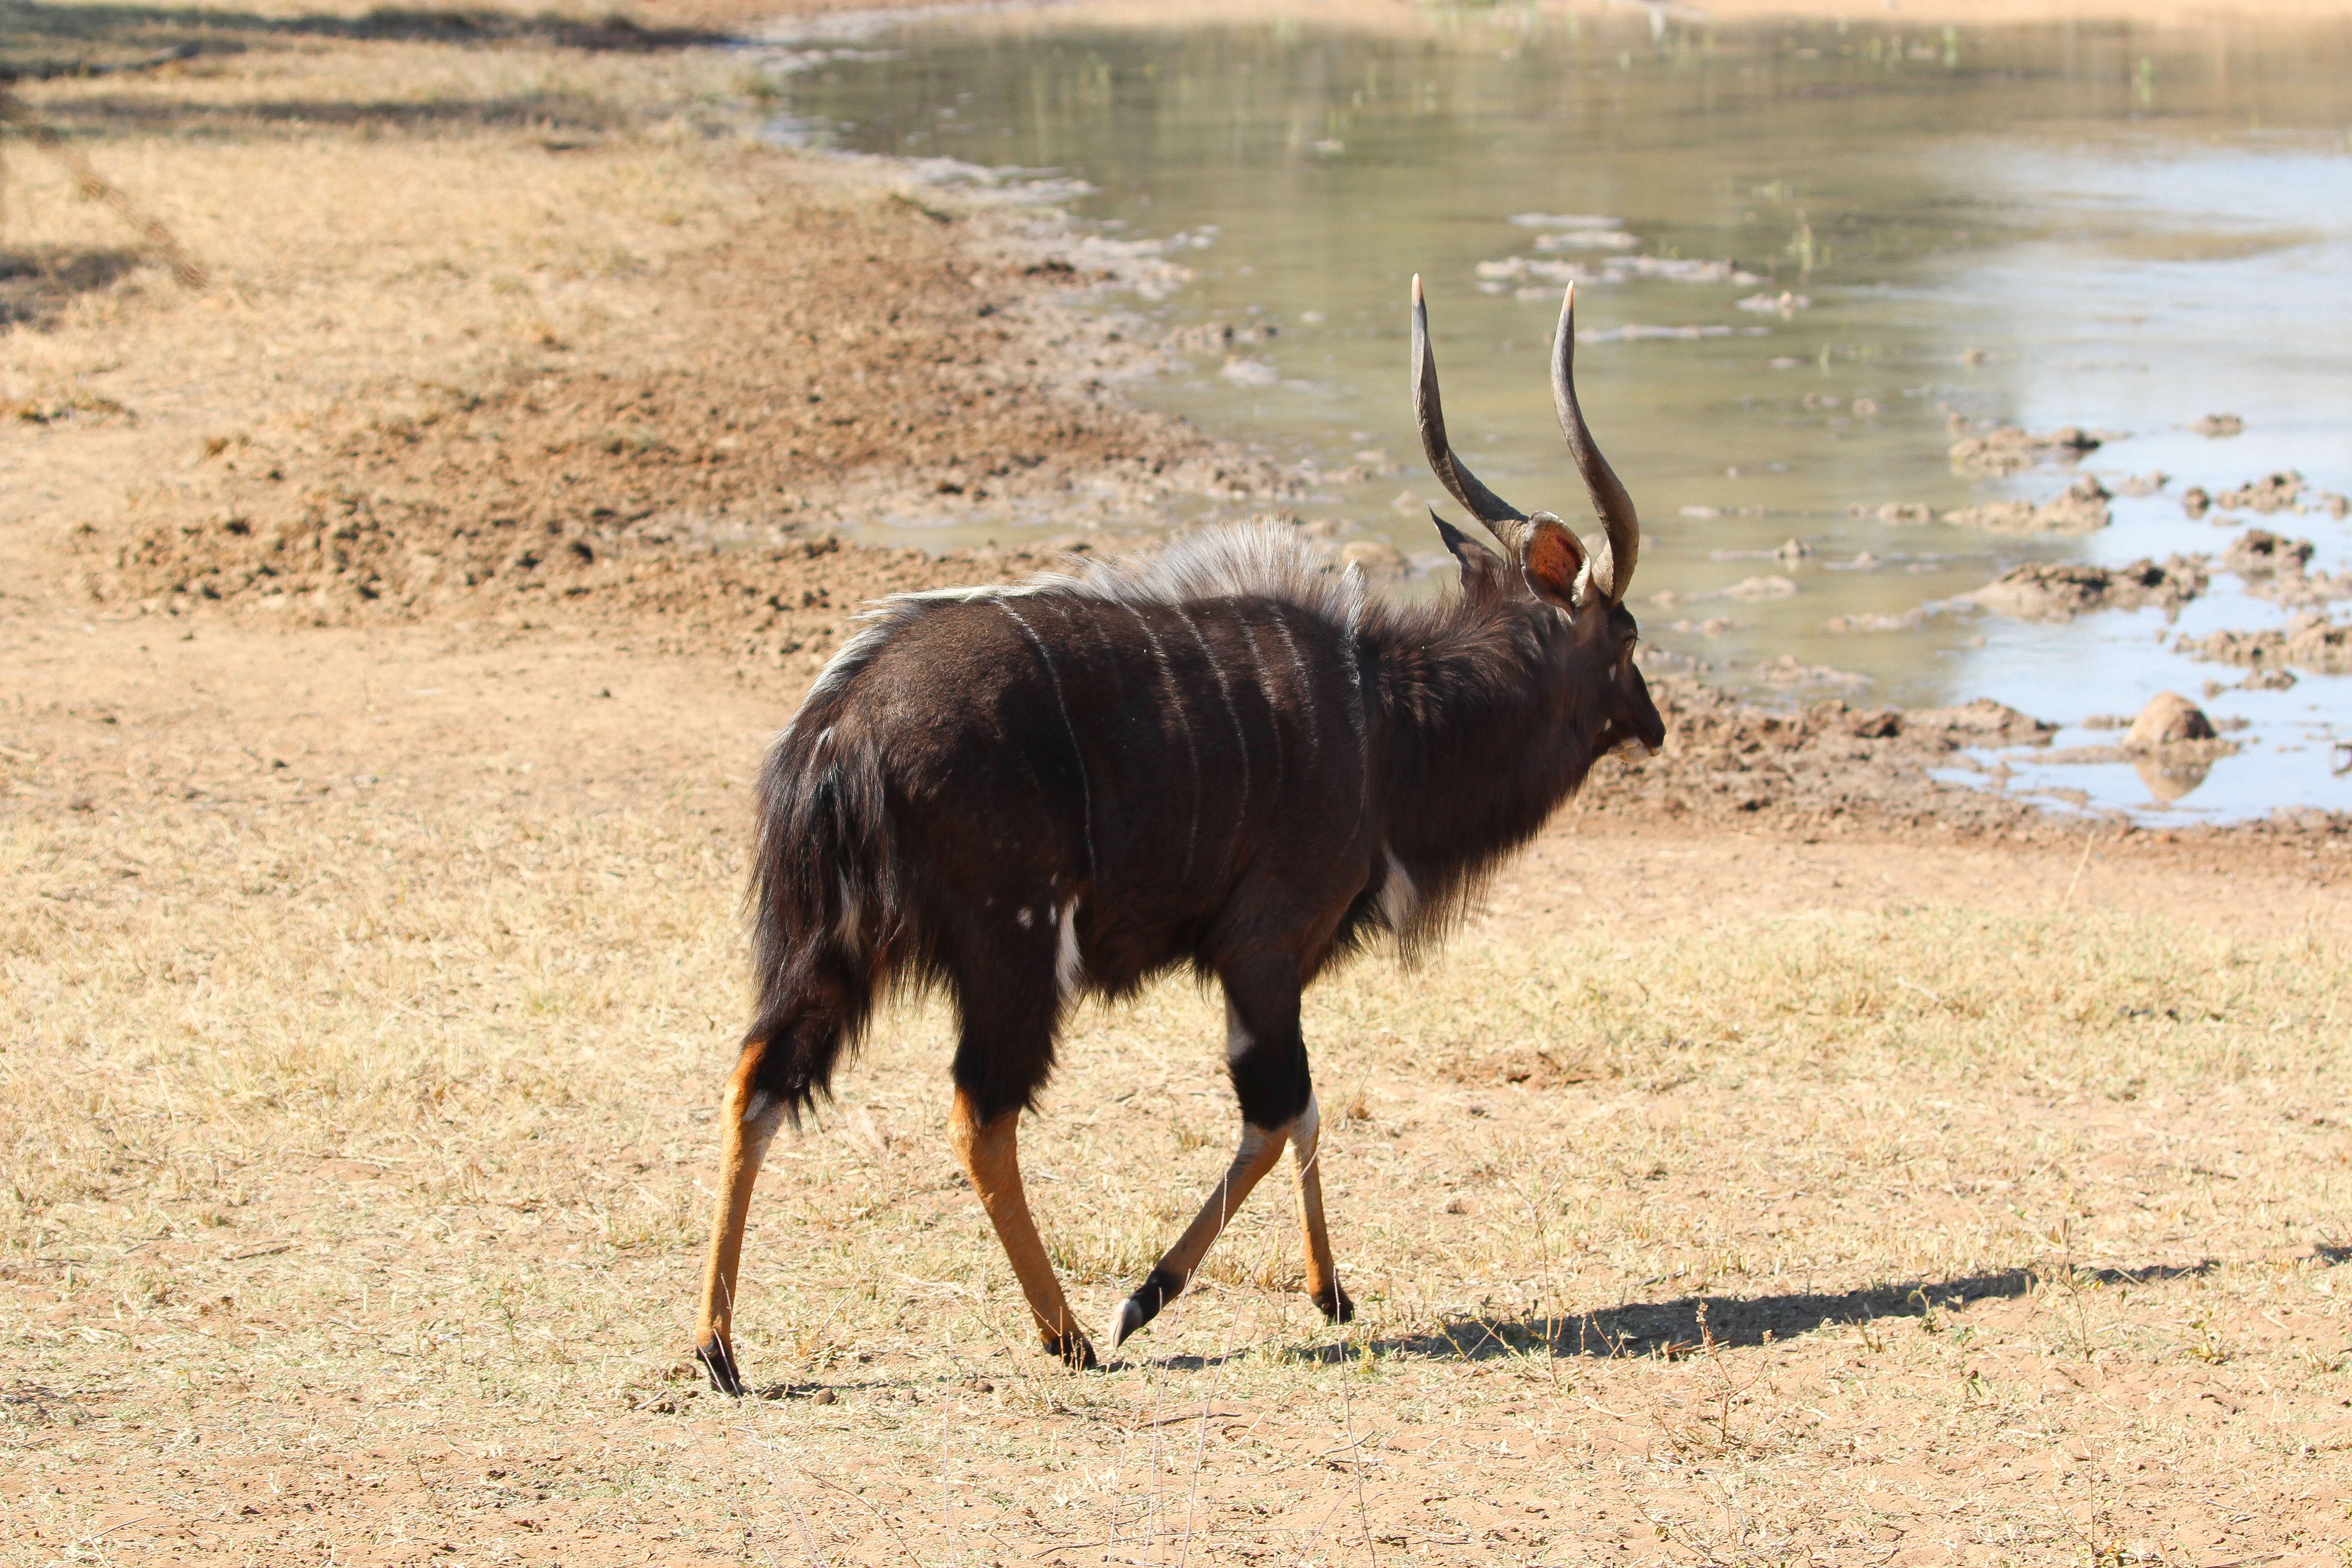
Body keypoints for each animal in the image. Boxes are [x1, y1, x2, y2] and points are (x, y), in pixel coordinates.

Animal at [686, 276, 1665, 1392]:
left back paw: (719, 1348)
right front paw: (1147, 1300)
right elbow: (1277, 1112)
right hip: (1013, 949)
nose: (1655, 724)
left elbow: (1302, 1108)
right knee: (980, 1111)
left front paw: (1332, 1292)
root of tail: (840, 729)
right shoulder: (1260, 945)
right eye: (1625, 634)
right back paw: (1067, 1333)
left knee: (757, 1080)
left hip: (828, 946)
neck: (1390, 720)